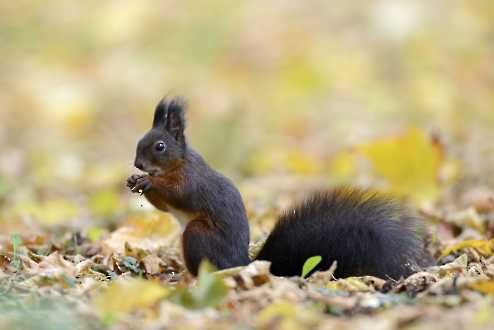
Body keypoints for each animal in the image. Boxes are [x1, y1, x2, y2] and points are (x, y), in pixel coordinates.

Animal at [126, 97, 432, 278]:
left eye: (160, 146)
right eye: (139, 141)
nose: (138, 164)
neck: (177, 163)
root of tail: (240, 264)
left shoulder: (192, 180)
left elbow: (178, 194)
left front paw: (149, 181)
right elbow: (164, 206)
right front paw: (135, 182)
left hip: (197, 234)